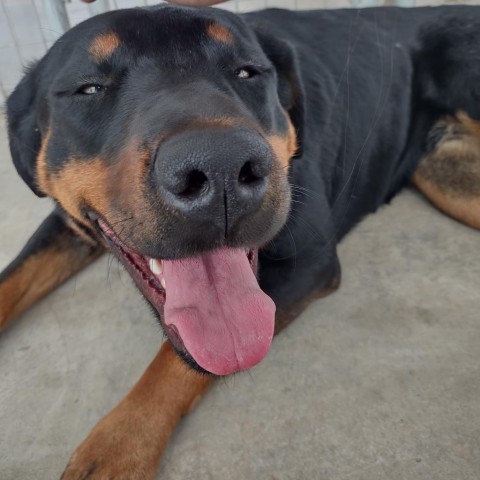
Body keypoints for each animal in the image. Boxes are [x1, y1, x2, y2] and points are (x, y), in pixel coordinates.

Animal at [0, 4, 480, 480]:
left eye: (247, 72)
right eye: (89, 88)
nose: (221, 168)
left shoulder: (310, 260)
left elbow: (174, 360)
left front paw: (119, 443)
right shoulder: (68, 219)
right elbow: (14, 277)